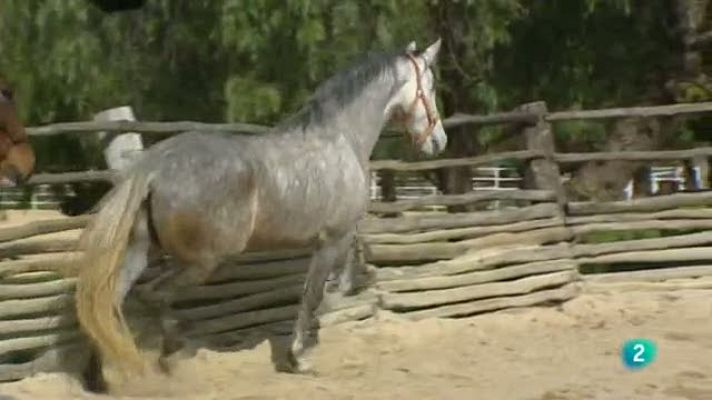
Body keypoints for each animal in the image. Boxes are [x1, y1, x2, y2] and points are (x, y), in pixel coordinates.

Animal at [75, 39, 446, 385]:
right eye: (430, 87)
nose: (438, 141)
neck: (342, 139)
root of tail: (153, 168)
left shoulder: (337, 241)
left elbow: (334, 287)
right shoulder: (331, 240)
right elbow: (314, 296)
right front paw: (298, 357)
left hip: (140, 251)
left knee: (105, 302)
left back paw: (101, 374)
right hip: (206, 260)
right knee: (152, 295)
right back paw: (168, 354)